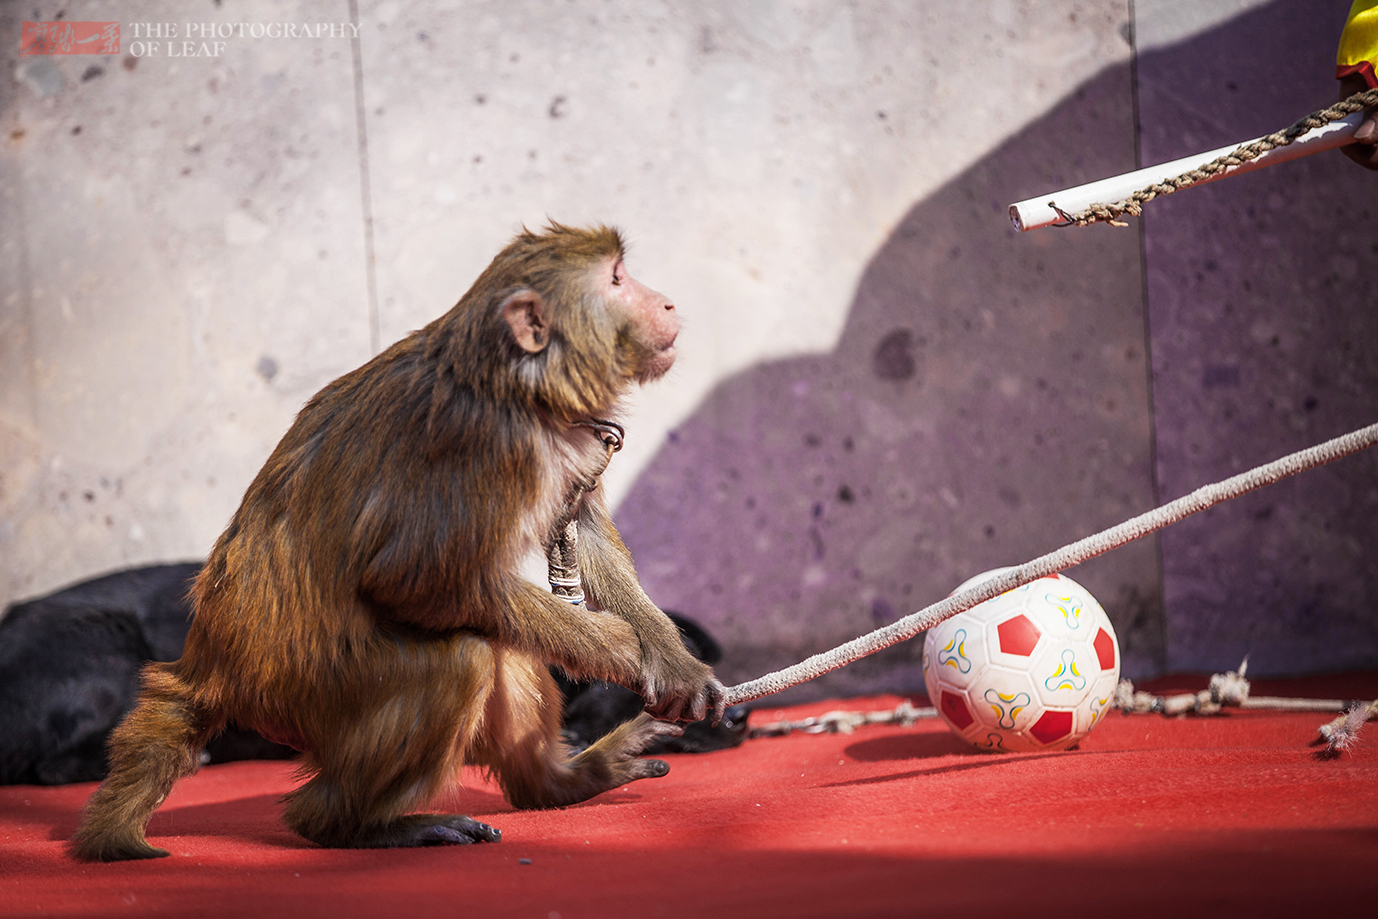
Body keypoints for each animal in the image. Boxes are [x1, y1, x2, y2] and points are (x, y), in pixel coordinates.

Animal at [71, 223, 727, 865]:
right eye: (616, 280)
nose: (666, 301)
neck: (516, 384)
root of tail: (213, 664)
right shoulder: (485, 447)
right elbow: (407, 580)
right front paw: (621, 650)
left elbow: (582, 529)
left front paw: (673, 661)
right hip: (318, 694)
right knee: (463, 656)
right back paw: (353, 825)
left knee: (502, 644)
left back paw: (559, 784)